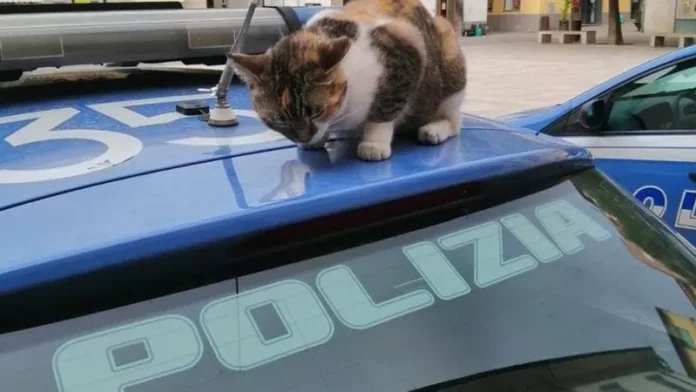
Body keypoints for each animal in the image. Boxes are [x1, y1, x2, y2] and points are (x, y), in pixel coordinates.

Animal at [230, 0, 468, 162]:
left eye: (316, 112)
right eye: (279, 120)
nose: (305, 138)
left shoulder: (407, 48)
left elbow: (385, 108)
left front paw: (373, 143)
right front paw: (318, 140)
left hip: (449, 60)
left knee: (455, 121)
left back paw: (434, 130)